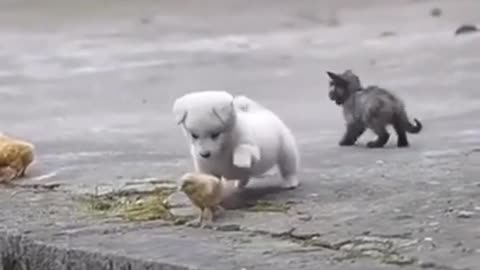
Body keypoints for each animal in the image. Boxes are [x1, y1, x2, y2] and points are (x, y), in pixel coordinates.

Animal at [172, 89, 300, 189]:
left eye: (215, 134)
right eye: (194, 135)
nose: (205, 154)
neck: (223, 148)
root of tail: (260, 111)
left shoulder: (252, 149)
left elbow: (242, 148)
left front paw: (240, 160)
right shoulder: (205, 168)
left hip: (286, 150)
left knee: (288, 167)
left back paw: (290, 182)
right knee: (245, 176)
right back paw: (240, 183)